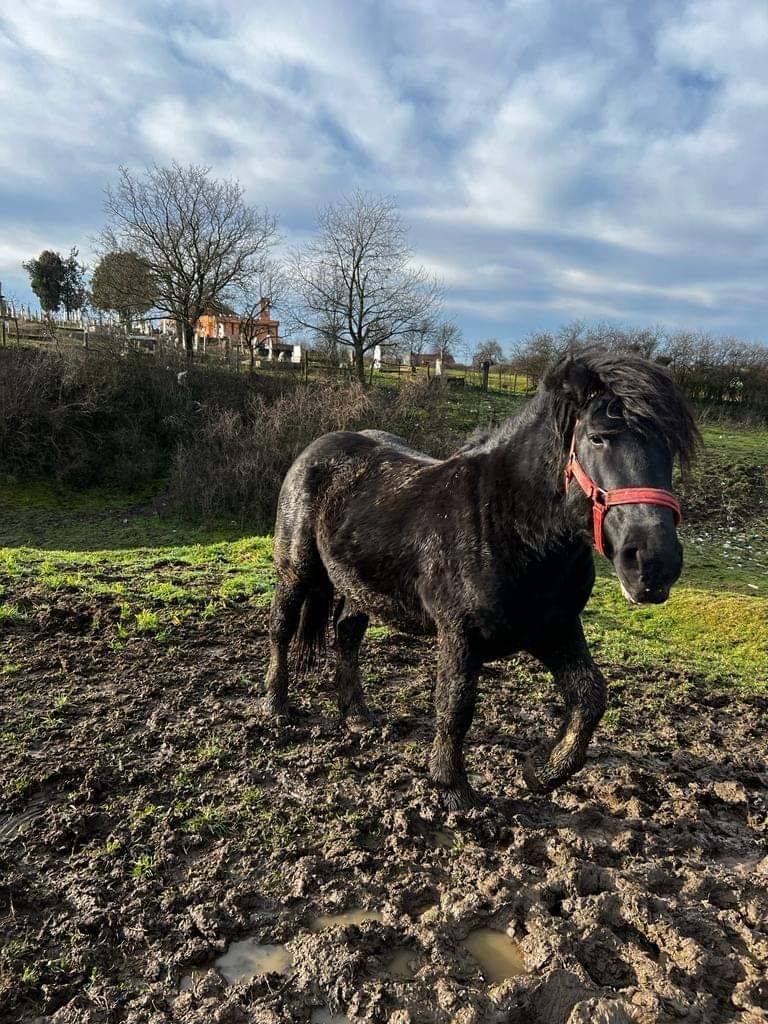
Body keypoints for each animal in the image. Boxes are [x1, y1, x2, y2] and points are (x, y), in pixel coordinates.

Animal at [266, 348, 704, 811]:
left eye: (670, 447)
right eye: (598, 437)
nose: (653, 563)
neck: (510, 526)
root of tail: (318, 447)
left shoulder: (556, 628)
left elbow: (590, 697)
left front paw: (539, 771)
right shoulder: (461, 633)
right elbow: (455, 704)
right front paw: (452, 786)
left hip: (361, 587)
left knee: (346, 637)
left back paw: (357, 716)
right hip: (296, 571)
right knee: (281, 629)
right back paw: (275, 705)